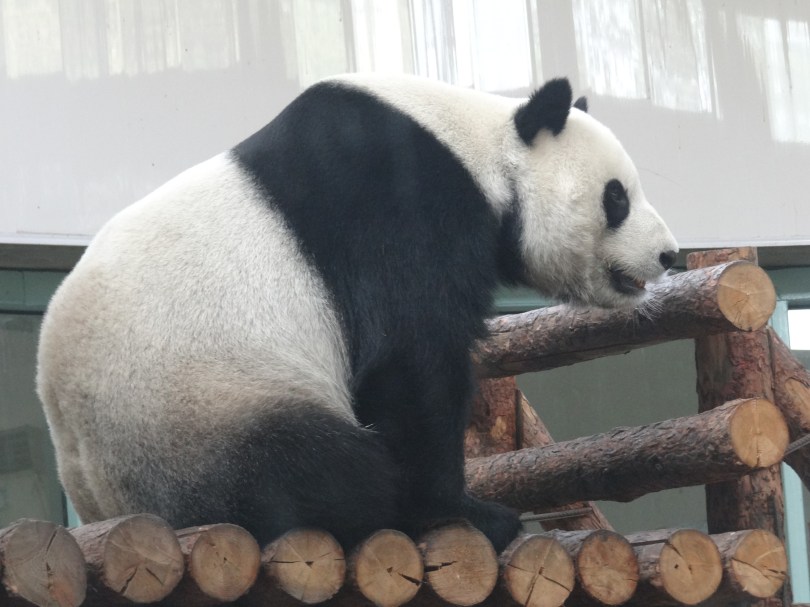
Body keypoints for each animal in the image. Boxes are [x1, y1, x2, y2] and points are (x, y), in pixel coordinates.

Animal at [37, 74, 678, 553]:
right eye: (616, 197)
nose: (669, 254)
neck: (479, 147)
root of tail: (108, 506)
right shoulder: (397, 198)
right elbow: (411, 360)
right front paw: (462, 511)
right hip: (209, 408)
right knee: (318, 474)